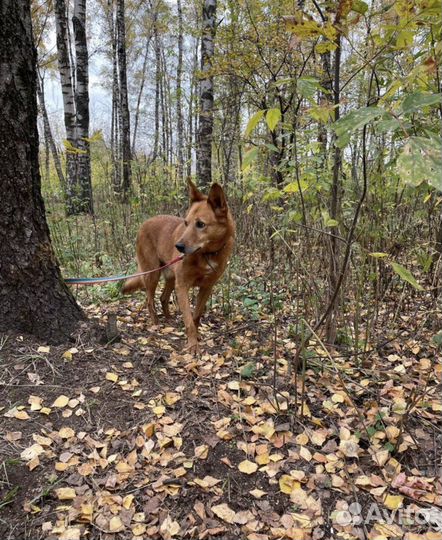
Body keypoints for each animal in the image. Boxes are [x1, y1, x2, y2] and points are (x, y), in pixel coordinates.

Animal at [122, 179, 235, 352]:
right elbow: (188, 320)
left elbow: (196, 315)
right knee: (149, 300)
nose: (178, 246)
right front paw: (192, 345)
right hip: (152, 274)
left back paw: (169, 319)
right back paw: (156, 324)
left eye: (200, 224)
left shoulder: (206, 287)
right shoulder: (182, 286)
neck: (207, 254)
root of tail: (144, 223)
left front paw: (196, 336)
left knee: (163, 297)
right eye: (186, 223)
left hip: (170, 277)